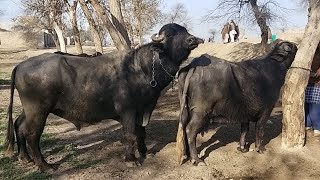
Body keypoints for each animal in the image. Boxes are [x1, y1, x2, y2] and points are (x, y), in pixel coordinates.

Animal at [3, 23, 204, 171]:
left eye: (185, 31)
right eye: (169, 35)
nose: (192, 39)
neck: (142, 69)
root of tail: (21, 65)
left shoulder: (144, 109)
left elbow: (141, 132)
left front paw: (144, 152)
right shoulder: (128, 111)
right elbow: (130, 134)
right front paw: (131, 159)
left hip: (29, 110)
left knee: (19, 125)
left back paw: (24, 158)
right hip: (39, 111)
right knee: (32, 134)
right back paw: (45, 165)